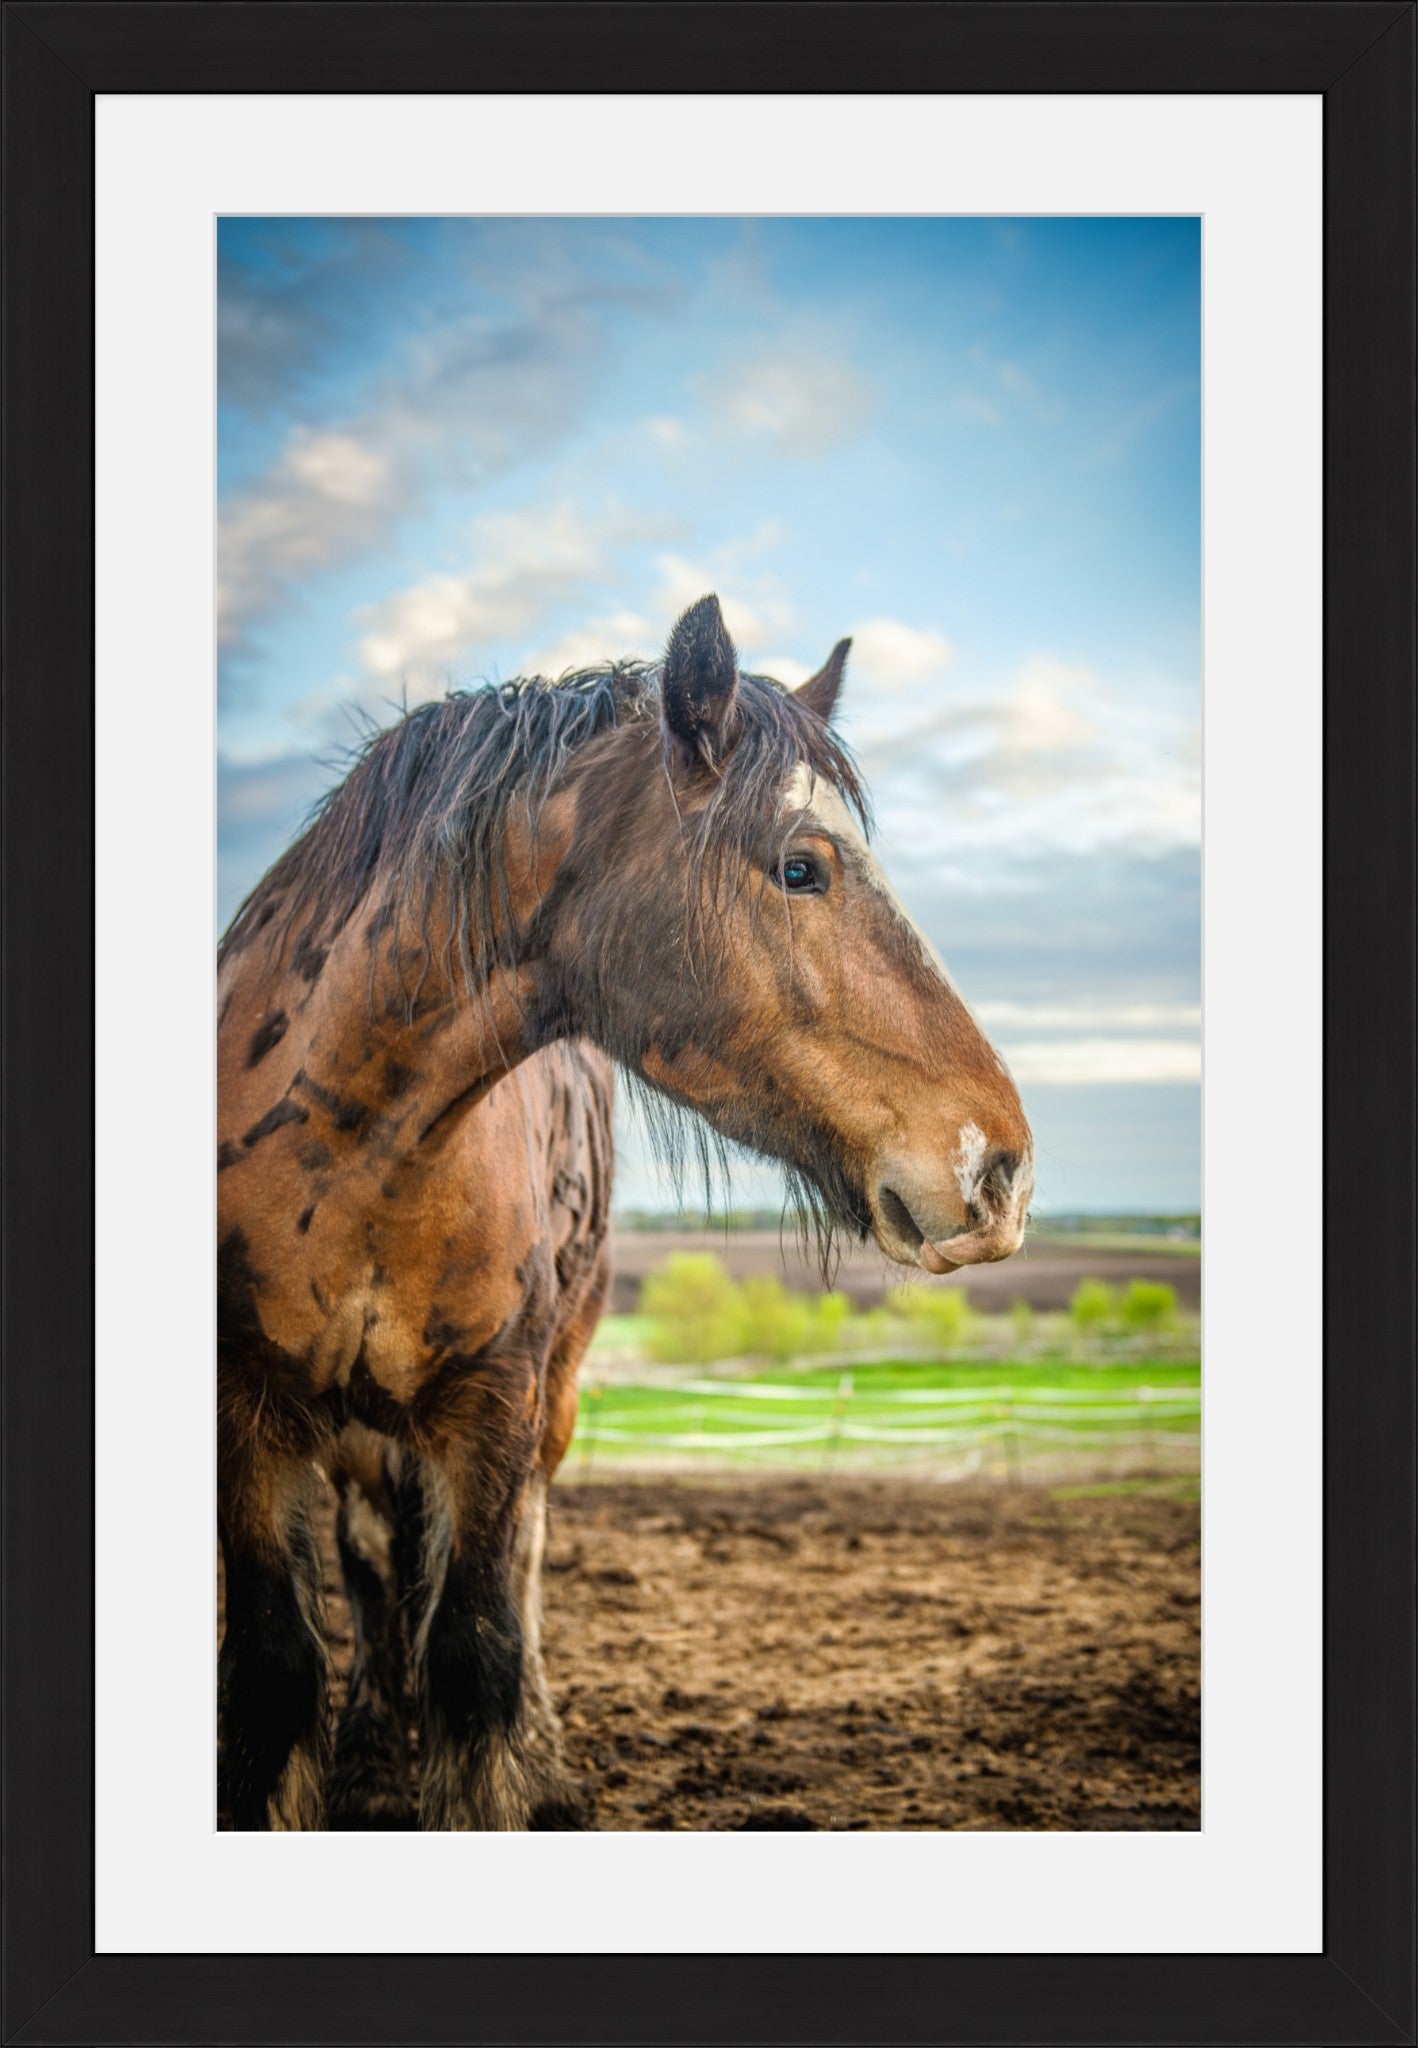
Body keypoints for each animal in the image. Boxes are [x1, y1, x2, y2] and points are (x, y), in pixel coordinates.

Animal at [216, 598, 1028, 1835]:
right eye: (802, 866)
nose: (1001, 1166)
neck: (350, 1148)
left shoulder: (491, 1406)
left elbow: (477, 1652)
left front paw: (509, 1770)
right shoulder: (249, 1419)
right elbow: (277, 1674)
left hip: (544, 1399)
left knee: (513, 1570)